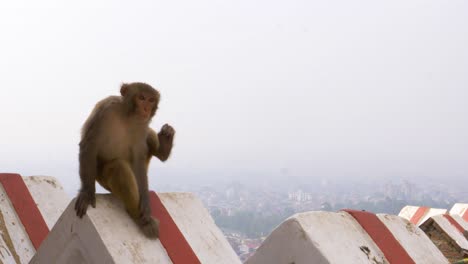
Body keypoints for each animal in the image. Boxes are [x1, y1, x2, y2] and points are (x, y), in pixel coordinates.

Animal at [75, 81, 176, 238]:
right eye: (141, 98)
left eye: (151, 100)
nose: (146, 108)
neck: (128, 116)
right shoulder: (105, 111)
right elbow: (89, 145)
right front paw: (87, 192)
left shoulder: (142, 125)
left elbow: (138, 160)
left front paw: (146, 206)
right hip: (101, 177)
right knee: (118, 167)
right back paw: (140, 218)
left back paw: (164, 147)